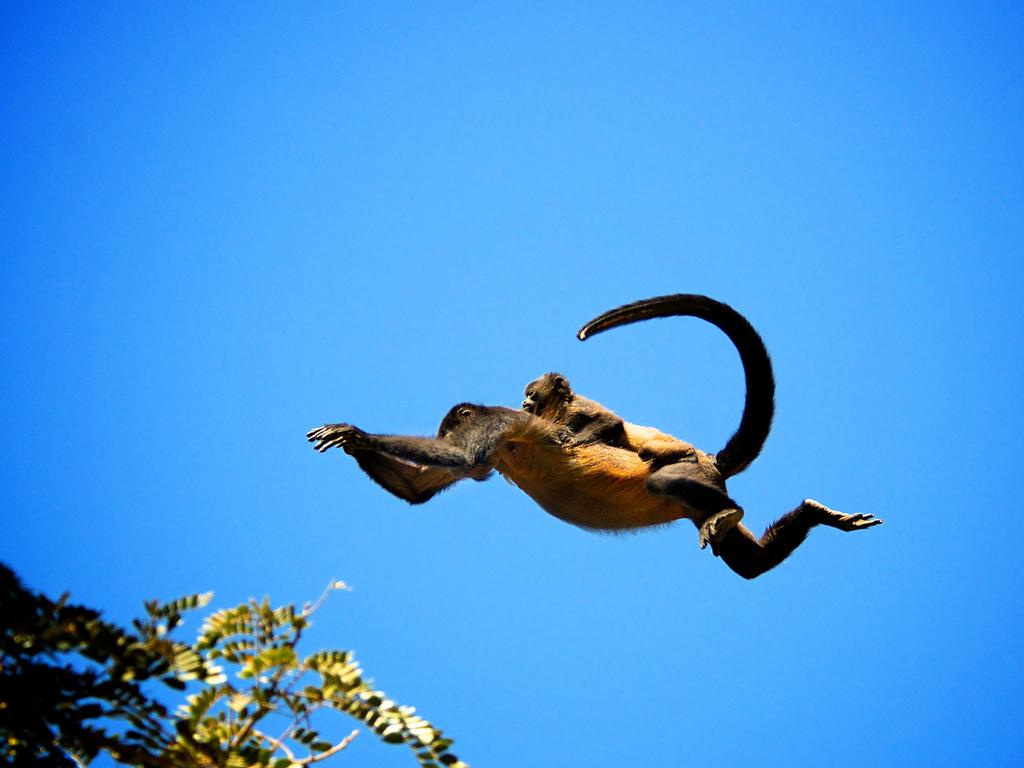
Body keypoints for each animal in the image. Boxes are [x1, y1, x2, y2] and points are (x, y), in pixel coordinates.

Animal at [307, 292, 884, 577]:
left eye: (451, 422)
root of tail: (711, 463)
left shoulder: (498, 421)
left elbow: (461, 456)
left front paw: (356, 431)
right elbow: (420, 488)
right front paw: (353, 441)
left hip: (692, 473)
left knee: (666, 484)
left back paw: (729, 511)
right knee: (750, 566)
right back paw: (811, 514)